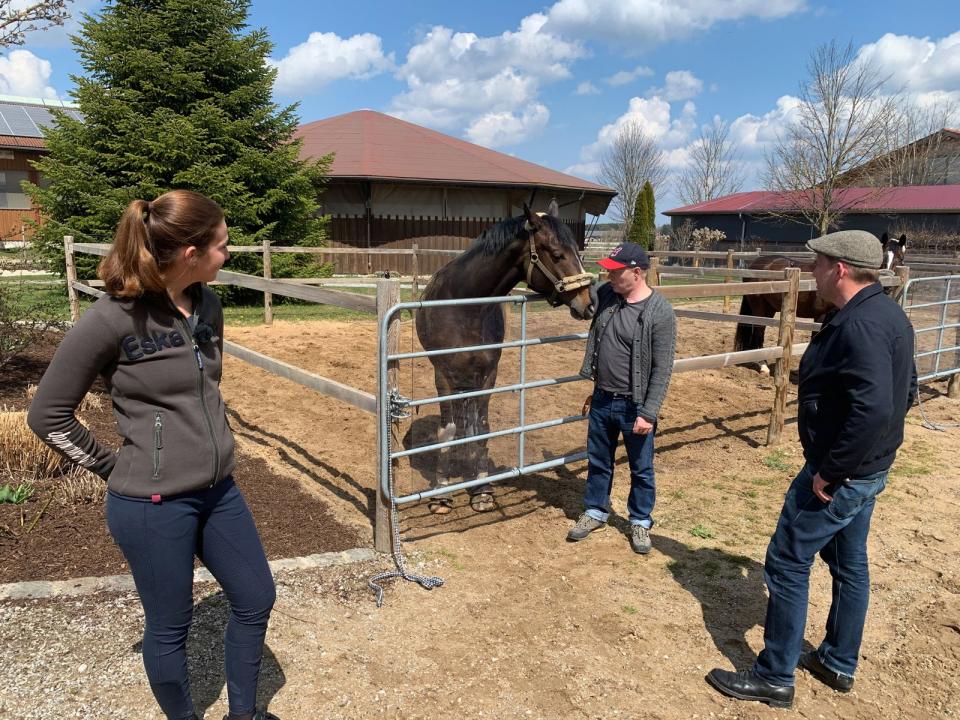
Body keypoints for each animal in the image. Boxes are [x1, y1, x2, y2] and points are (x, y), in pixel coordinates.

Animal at [416, 205, 596, 516]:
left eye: (578, 251)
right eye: (557, 254)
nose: (589, 303)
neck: (465, 305)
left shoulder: (489, 374)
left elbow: (482, 428)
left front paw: (482, 488)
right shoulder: (444, 375)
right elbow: (447, 431)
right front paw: (441, 493)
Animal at [736, 233, 908, 374]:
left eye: (900, 258)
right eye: (882, 257)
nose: (888, 287)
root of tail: (756, 264)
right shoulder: (821, 315)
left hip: (769, 308)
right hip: (759, 307)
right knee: (758, 331)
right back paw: (763, 365)